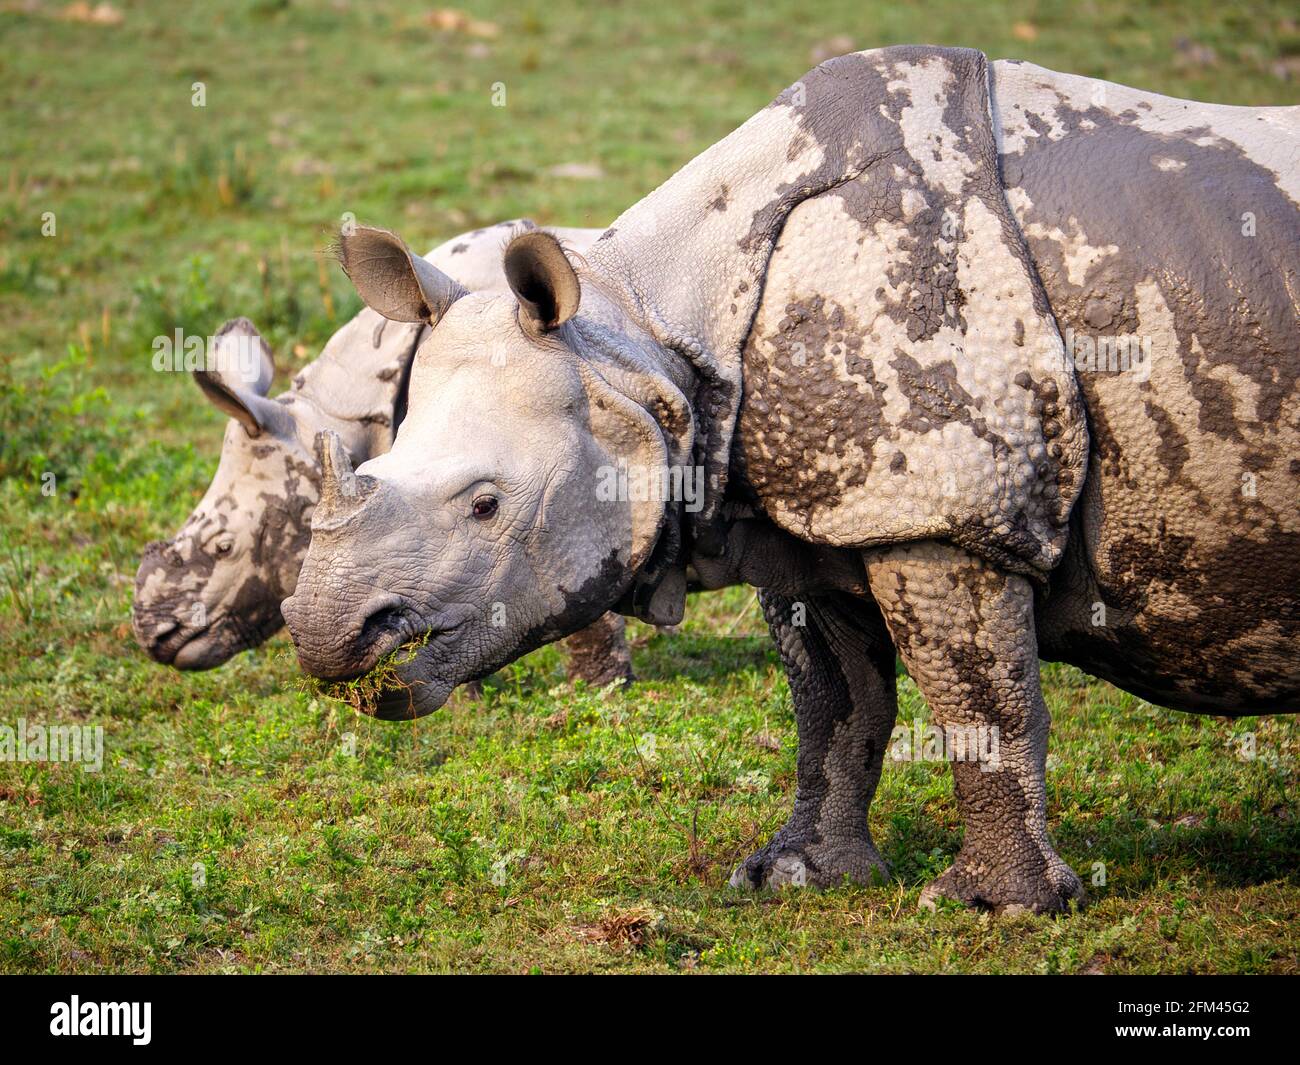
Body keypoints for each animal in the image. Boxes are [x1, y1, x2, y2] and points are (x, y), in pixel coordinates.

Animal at [282, 46, 1299, 914]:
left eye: (487, 504)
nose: (327, 635)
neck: (643, 333)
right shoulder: (821, 517)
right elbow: (836, 704)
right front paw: (795, 876)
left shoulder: (940, 511)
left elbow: (981, 698)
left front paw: (994, 907)